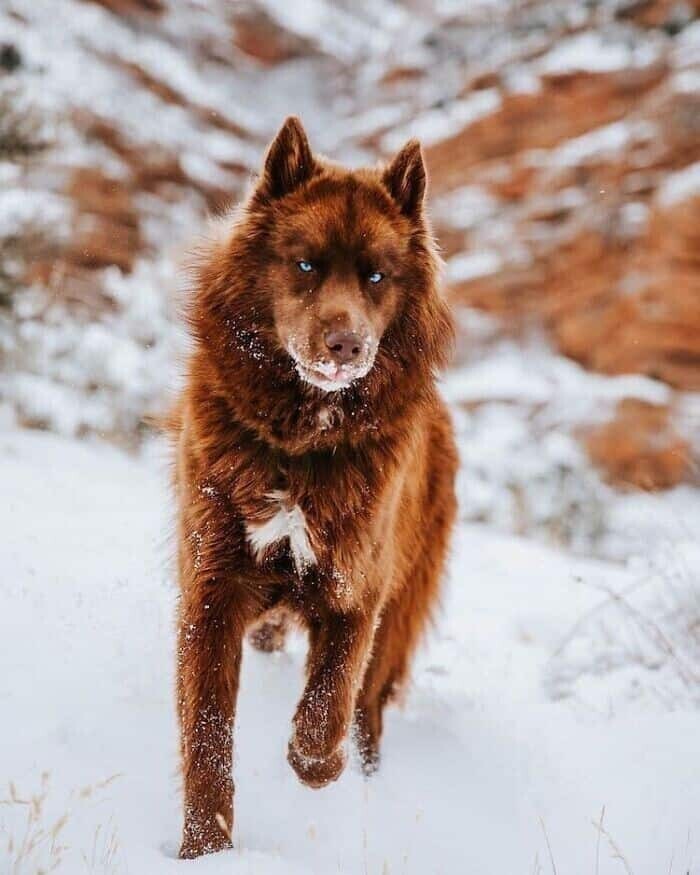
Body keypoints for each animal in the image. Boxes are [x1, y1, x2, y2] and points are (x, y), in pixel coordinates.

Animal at [174, 118, 460, 864]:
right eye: (304, 265)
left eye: (376, 276)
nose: (347, 345)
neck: (299, 445)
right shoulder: (212, 589)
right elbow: (207, 734)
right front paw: (204, 851)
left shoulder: (358, 586)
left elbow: (329, 696)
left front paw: (318, 767)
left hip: (401, 610)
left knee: (368, 707)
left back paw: (362, 773)